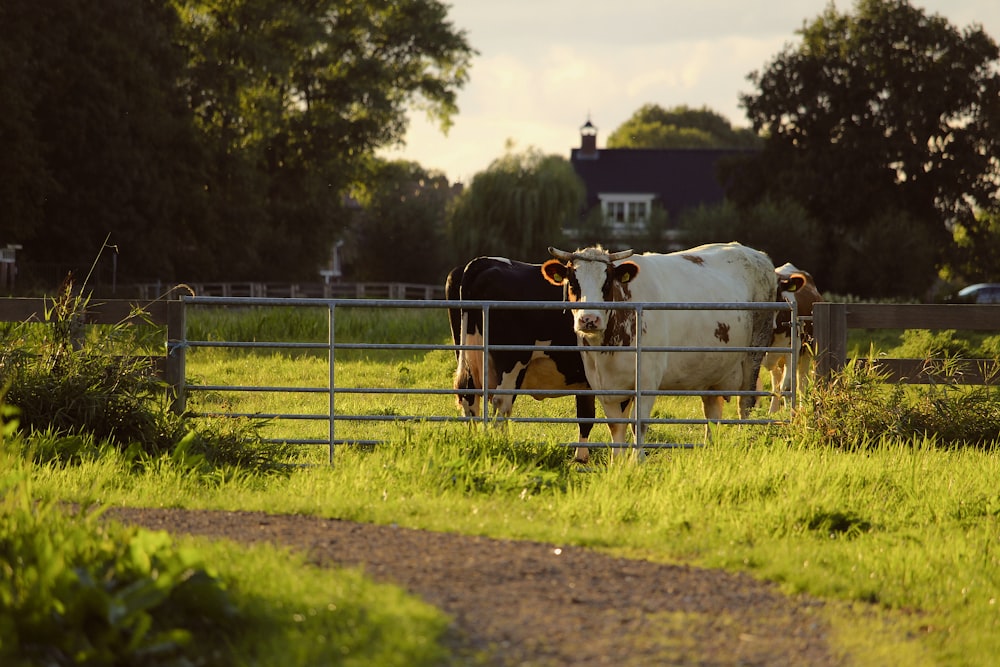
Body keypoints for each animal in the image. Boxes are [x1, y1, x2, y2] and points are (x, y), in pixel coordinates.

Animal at [444, 258, 592, 462]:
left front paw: (581, 458)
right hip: (512, 363)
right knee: (501, 403)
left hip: (468, 358)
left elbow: (586, 417)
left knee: (469, 398)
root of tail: (483, 262)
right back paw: (501, 445)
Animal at [544, 243, 776, 456]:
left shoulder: (647, 379)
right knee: (711, 412)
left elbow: (638, 424)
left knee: (745, 404)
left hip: (753, 356)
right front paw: (616, 464)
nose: (589, 319)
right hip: (712, 370)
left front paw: (637, 462)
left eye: (607, 282)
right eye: (573, 282)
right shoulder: (602, 383)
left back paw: (744, 438)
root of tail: (758, 255)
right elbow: (616, 426)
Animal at [764, 260, 820, 412]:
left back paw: (800, 408)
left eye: (778, 294)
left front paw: (791, 414)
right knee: (776, 382)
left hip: (807, 350)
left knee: (801, 382)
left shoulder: (793, 349)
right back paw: (772, 411)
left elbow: (788, 386)